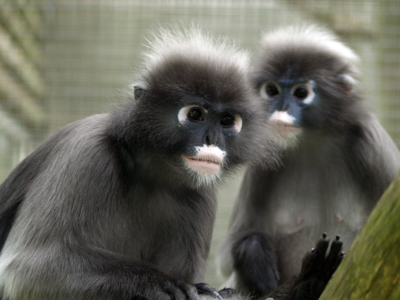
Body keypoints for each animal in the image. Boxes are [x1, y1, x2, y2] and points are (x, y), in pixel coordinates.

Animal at [0, 27, 276, 300]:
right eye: (195, 114)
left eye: (227, 120)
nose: (212, 140)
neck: (152, 175)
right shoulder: (86, 154)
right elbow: (29, 267)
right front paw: (160, 283)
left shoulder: (202, 195)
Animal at [217, 24, 400, 298]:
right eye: (271, 90)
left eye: (301, 93)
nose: (280, 108)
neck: (313, 140)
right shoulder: (265, 162)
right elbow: (234, 247)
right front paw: (256, 258)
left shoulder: (370, 142)